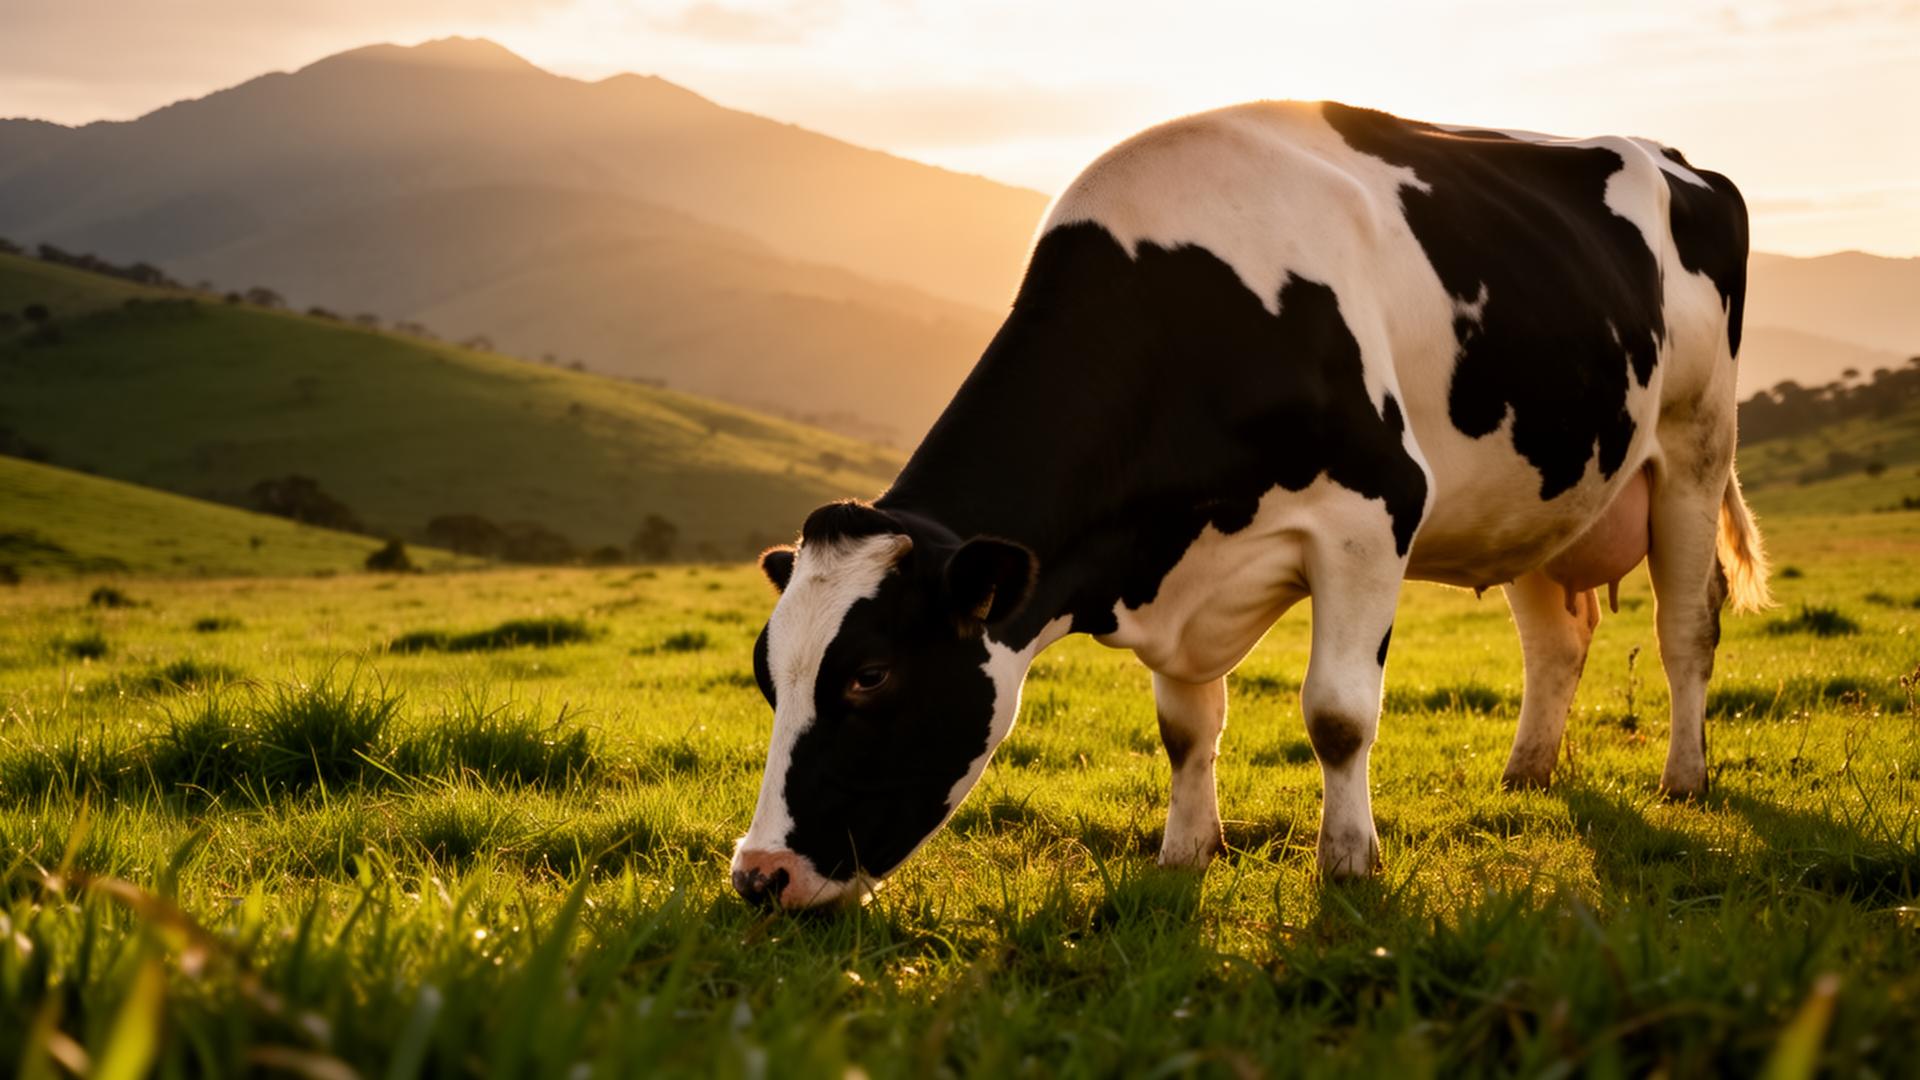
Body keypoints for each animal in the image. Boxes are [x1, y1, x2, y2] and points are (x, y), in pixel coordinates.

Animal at [730, 100, 1770, 910]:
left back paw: (1685, 779)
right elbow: (1186, 728)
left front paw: (1348, 863)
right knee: (1558, 638)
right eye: (768, 677)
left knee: (1687, 628)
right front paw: (1187, 850)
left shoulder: (1374, 509)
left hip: (1694, 444)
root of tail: (1673, 155)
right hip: (1537, 495)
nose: (759, 875)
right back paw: (1526, 773)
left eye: (870, 676)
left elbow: (1338, 713)